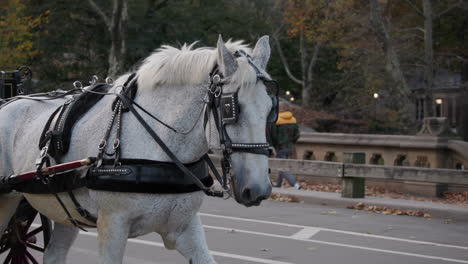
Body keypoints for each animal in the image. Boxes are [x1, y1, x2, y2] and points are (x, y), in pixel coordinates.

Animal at [0, 35, 276, 264]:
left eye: (270, 109)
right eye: (230, 108)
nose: (258, 189)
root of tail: (9, 102)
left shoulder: (184, 228)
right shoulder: (112, 226)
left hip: (66, 212)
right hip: (7, 199)